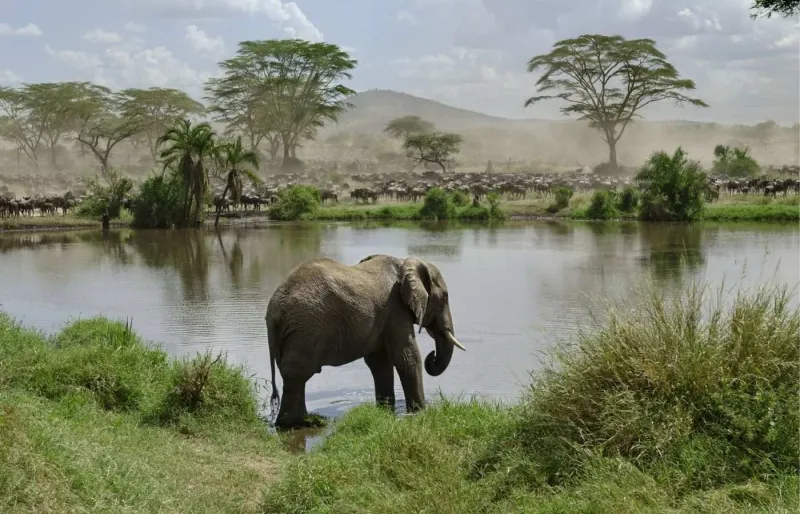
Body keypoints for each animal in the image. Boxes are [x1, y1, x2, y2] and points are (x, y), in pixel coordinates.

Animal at [266, 253, 466, 429]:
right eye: (445, 297)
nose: (432, 356)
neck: (405, 262)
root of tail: (274, 310)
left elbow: (380, 362)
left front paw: (386, 411)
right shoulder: (395, 309)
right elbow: (407, 357)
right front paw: (419, 412)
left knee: (294, 376)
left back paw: (305, 421)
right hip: (306, 328)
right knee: (298, 374)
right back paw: (296, 424)